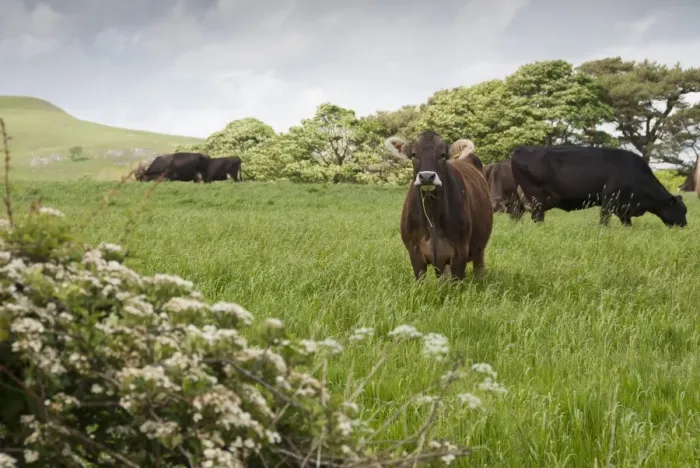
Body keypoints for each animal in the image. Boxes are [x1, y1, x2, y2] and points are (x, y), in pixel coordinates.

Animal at [385, 130, 494, 281]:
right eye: (414, 154)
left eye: (442, 155)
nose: (426, 177)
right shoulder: (414, 252)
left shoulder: (460, 252)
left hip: (480, 245)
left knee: (479, 264)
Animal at [510, 145, 688, 227]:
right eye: (681, 210)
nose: (684, 225)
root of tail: (520, 150)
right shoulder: (609, 199)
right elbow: (604, 220)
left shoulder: (624, 207)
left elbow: (627, 223)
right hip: (536, 199)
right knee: (537, 217)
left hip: (521, 199)